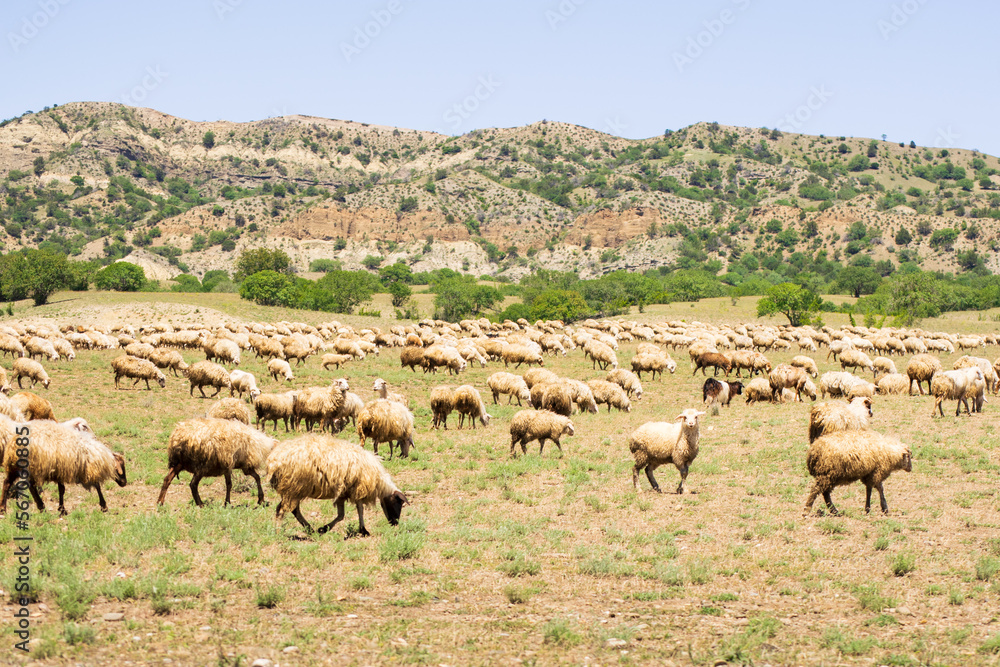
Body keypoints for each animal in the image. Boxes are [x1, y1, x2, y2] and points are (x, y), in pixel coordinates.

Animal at [267, 434, 408, 536]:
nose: (395, 523)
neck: (380, 482)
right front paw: (363, 530)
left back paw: (309, 529)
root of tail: (273, 461)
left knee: (292, 510)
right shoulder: (357, 489)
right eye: (398, 503)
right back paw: (279, 532)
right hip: (293, 488)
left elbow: (343, 514)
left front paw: (325, 528)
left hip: (292, 489)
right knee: (282, 510)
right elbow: (358, 510)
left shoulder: (344, 492)